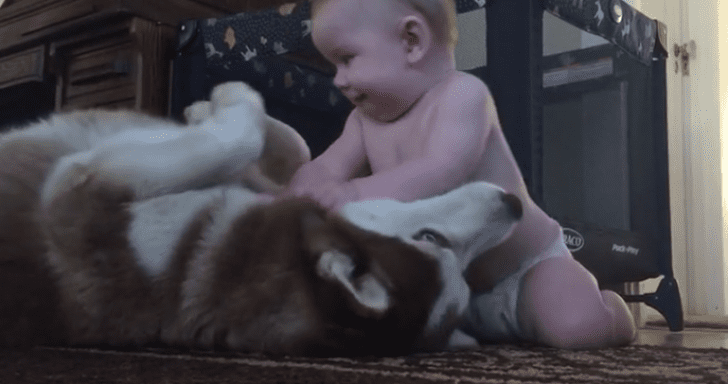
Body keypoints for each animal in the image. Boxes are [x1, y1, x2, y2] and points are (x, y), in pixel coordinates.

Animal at [0, 82, 520, 356]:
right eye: (431, 237)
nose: (514, 202)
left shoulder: (80, 189)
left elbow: (237, 139)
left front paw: (234, 97)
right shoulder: (272, 180)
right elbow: (296, 146)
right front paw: (205, 107)